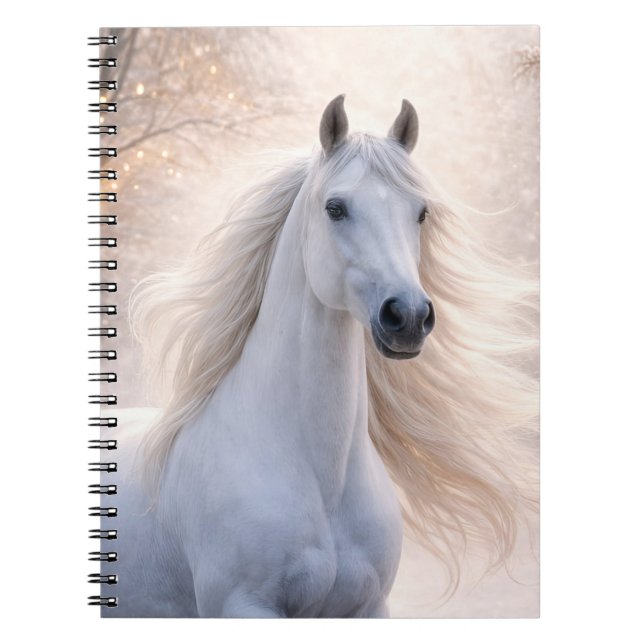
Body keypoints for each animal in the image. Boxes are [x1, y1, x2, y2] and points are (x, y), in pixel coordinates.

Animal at [103, 95, 538, 617]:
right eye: (335, 207)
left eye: (421, 213)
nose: (408, 316)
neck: (320, 477)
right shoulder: (244, 608)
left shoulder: (368, 609)